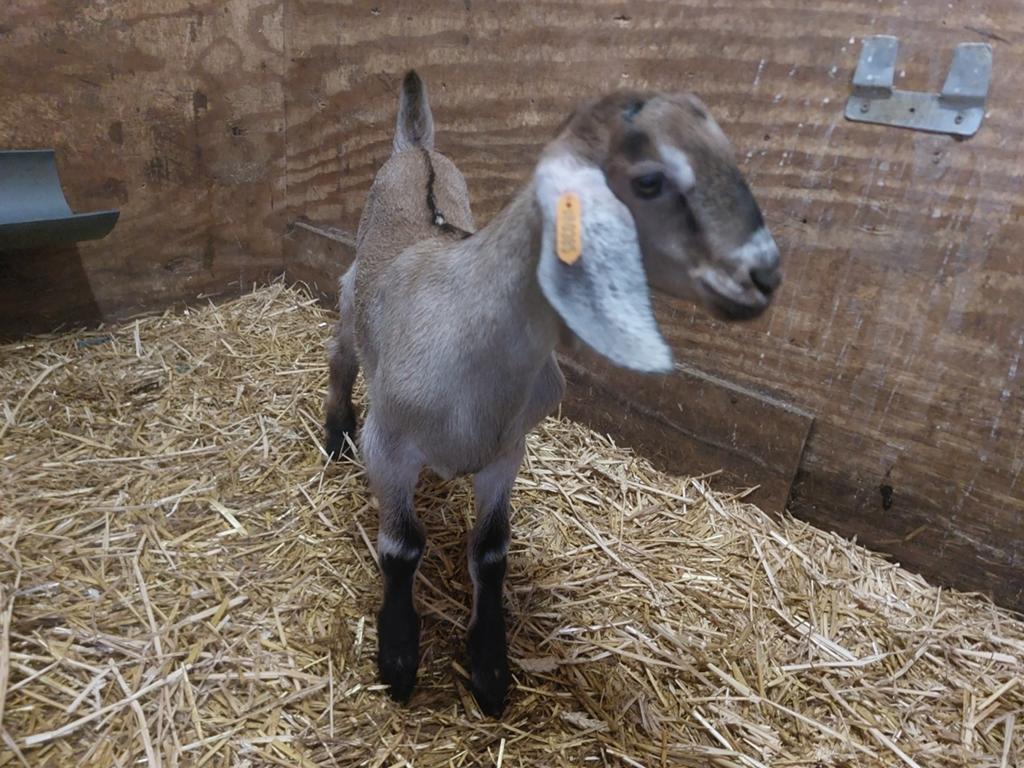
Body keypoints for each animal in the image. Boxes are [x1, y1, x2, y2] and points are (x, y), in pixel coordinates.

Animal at [324, 71, 780, 716]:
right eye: (649, 180)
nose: (764, 276)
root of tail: (415, 151)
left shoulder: (506, 452)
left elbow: (491, 552)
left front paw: (490, 669)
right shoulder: (388, 445)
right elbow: (401, 546)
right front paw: (399, 659)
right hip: (351, 294)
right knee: (341, 354)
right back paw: (334, 431)